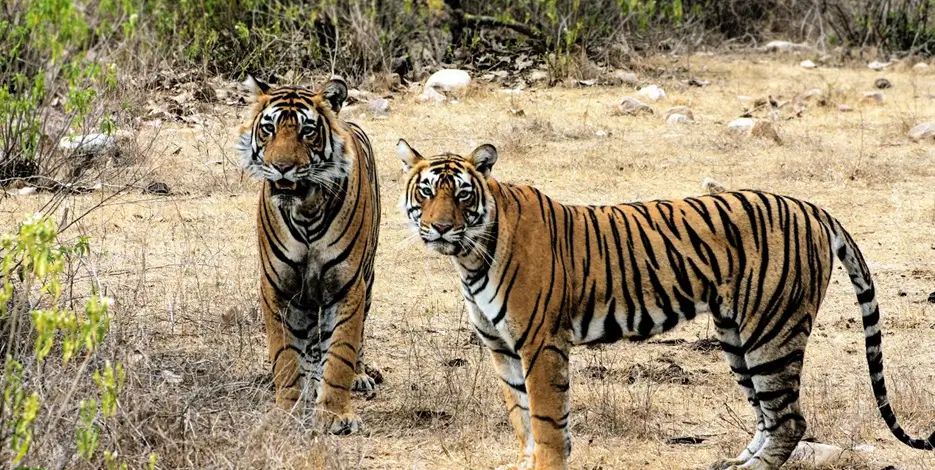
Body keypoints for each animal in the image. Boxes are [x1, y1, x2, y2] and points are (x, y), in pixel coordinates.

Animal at [237, 75, 380, 434]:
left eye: (307, 131)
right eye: (269, 128)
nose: (282, 168)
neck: (306, 212)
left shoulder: (347, 287)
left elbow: (341, 352)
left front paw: (335, 415)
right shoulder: (277, 288)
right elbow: (285, 356)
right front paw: (287, 411)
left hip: (368, 278)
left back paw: (358, 377)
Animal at [396, 139, 935, 469]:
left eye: (462, 196)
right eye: (427, 193)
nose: (440, 227)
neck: (470, 257)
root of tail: (810, 205)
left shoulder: (540, 343)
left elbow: (546, 419)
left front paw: (547, 462)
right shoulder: (502, 347)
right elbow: (521, 415)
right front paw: (525, 460)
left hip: (772, 331)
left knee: (790, 420)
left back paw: (750, 469)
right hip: (736, 335)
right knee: (767, 414)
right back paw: (733, 462)